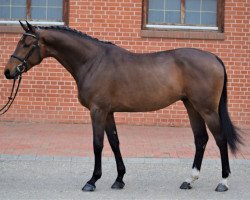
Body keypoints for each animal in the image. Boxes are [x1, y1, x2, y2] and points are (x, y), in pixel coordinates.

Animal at [3, 21, 242, 192]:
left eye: (26, 44)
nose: (8, 71)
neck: (93, 61)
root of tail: (214, 57)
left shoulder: (98, 111)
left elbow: (98, 144)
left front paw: (92, 180)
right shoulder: (108, 112)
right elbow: (115, 143)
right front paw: (119, 179)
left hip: (207, 109)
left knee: (220, 139)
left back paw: (223, 182)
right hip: (191, 106)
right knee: (201, 139)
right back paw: (189, 180)